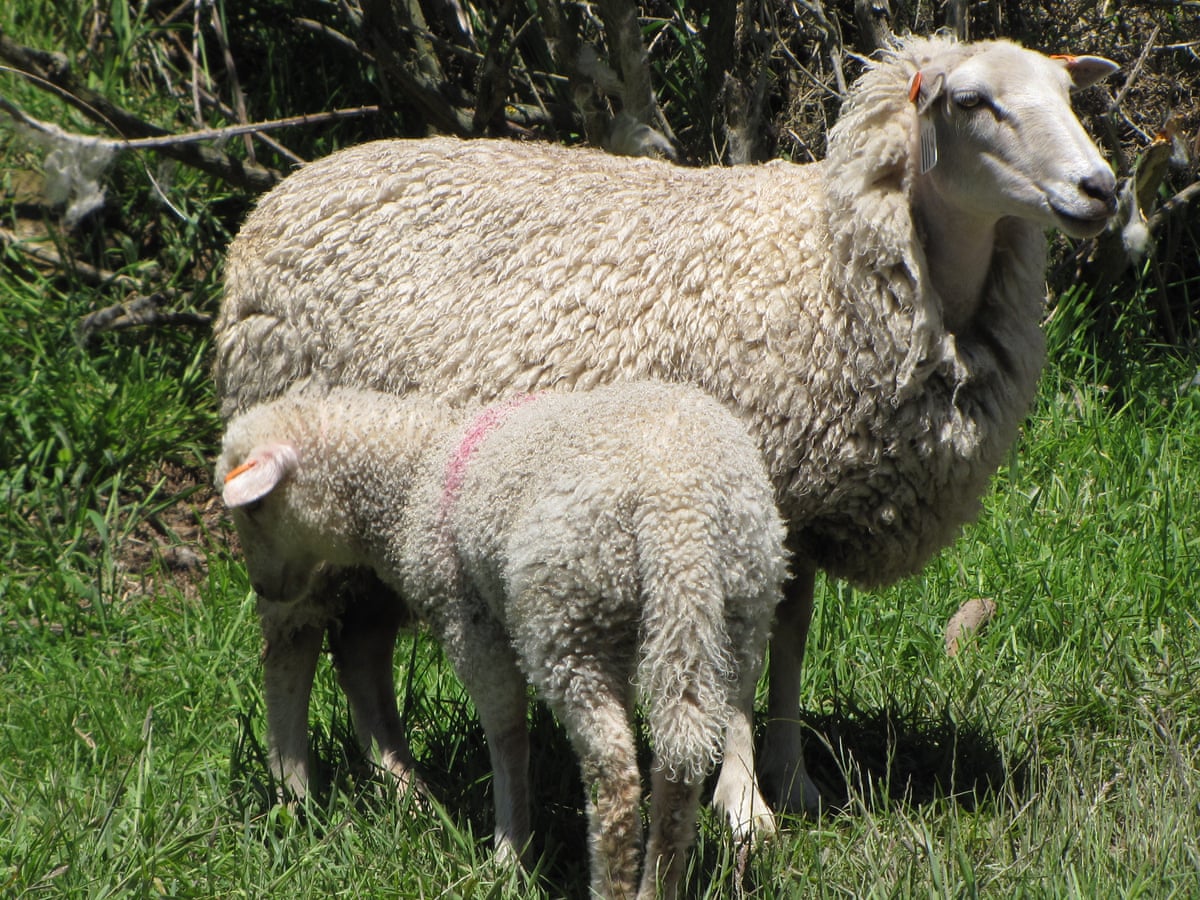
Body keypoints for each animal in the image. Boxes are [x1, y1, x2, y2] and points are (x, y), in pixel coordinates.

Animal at [214, 35, 1119, 817]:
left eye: (1069, 93)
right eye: (972, 101)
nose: (1101, 189)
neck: (834, 260)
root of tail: (280, 197)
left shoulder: (804, 500)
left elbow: (789, 642)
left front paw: (794, 782)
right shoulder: (752, 481)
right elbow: (742, 656)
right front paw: (745, 804)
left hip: (372, 510)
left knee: (359, 646)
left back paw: (405, 787)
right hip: (287, 493)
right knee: (290, 640)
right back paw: (298, 794)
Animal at [216, 381, 787, 899]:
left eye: (252, 509)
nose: (262, 588)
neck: (413, 476)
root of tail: (677, 508)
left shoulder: (469, 620)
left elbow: (507, 732)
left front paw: (510, 855)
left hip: (567, 617)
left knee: (615, 773)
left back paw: (612, 884)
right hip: (729, 609)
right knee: (679, 761)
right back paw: (660, 883)